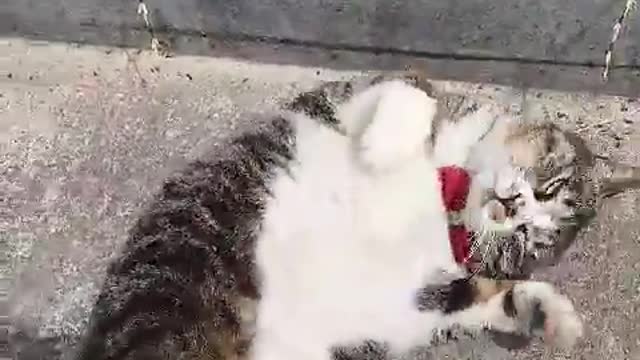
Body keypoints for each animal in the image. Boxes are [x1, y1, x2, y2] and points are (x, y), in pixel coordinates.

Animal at [72, 74, 588, 358]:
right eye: (546, 186)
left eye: (527, 238)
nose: (512, 206)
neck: (450, 191)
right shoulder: (351, 94)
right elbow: (413, 88)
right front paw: (384, 147)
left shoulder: (412, 299)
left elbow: (474, 299)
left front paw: (549, 314)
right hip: (175, 279)